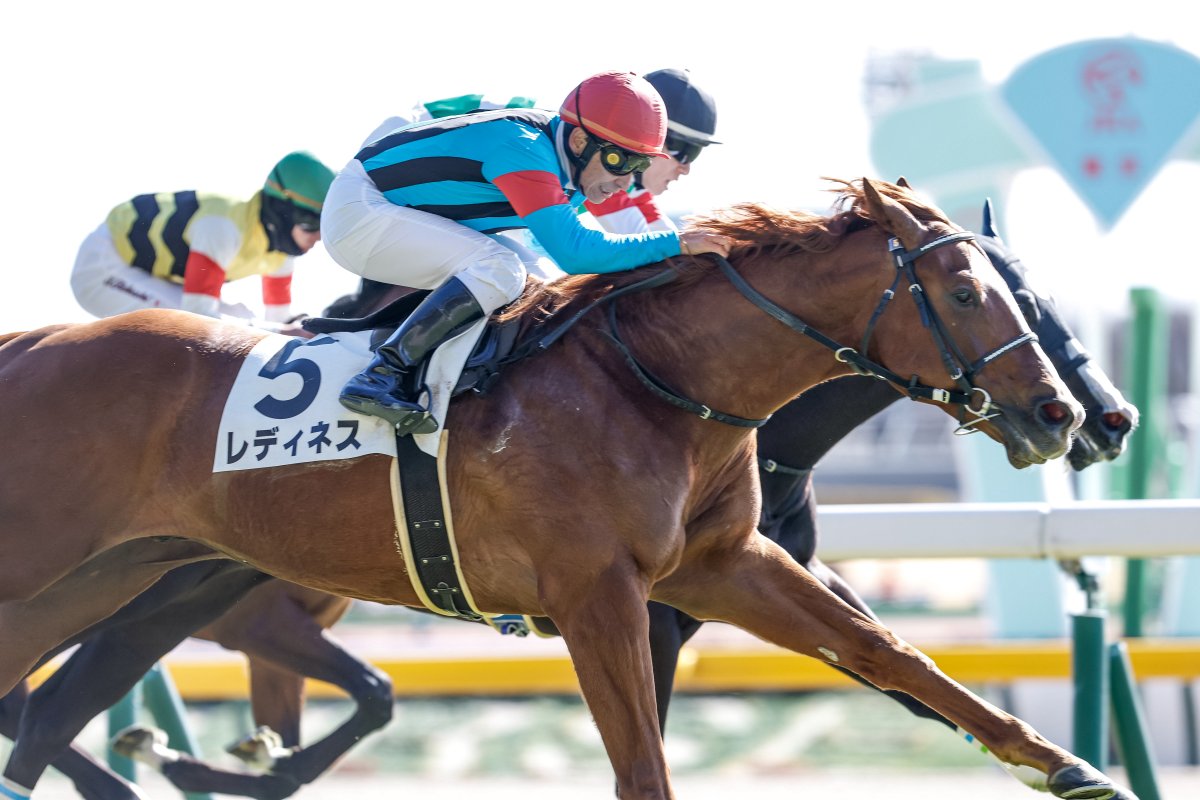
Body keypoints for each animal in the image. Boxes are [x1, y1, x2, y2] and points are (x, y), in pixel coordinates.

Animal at [0, 179, 1131, 799]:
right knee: (43, 708)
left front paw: (1067, 766)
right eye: (969, 291)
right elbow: (643, 761)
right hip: (78, 572)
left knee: (42, 705)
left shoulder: (722, 566)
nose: (1069, 415)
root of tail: (30, 345)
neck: (658, 380)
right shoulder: (601, 595)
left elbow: (886, 651)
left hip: (124, 577)